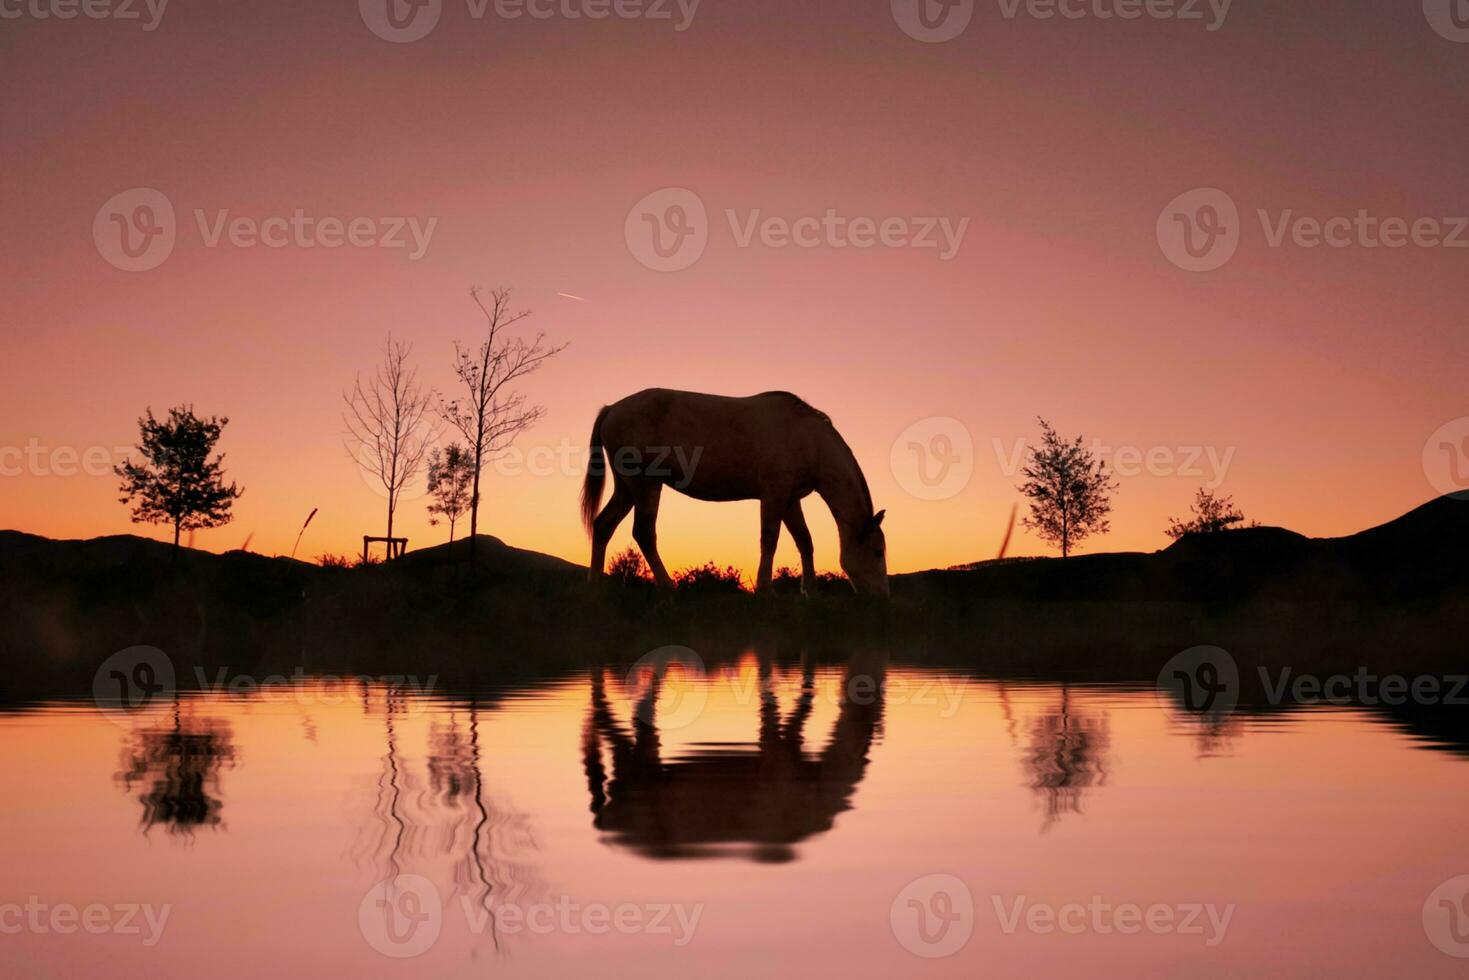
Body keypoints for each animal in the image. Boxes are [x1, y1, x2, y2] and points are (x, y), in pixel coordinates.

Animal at [578, 390, 887, 599]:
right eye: (878, 551)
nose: (881, 598)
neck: (809, 440)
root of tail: (611, 410)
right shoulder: (774, 494)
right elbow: (770, 540)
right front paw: (766, 590)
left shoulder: (790, 499)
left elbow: (804, 541)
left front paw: (810, 591)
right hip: (646, 485)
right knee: (643, 532)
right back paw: (667, 587)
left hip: (626, 489)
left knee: (603, 525)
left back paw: (594, 587)